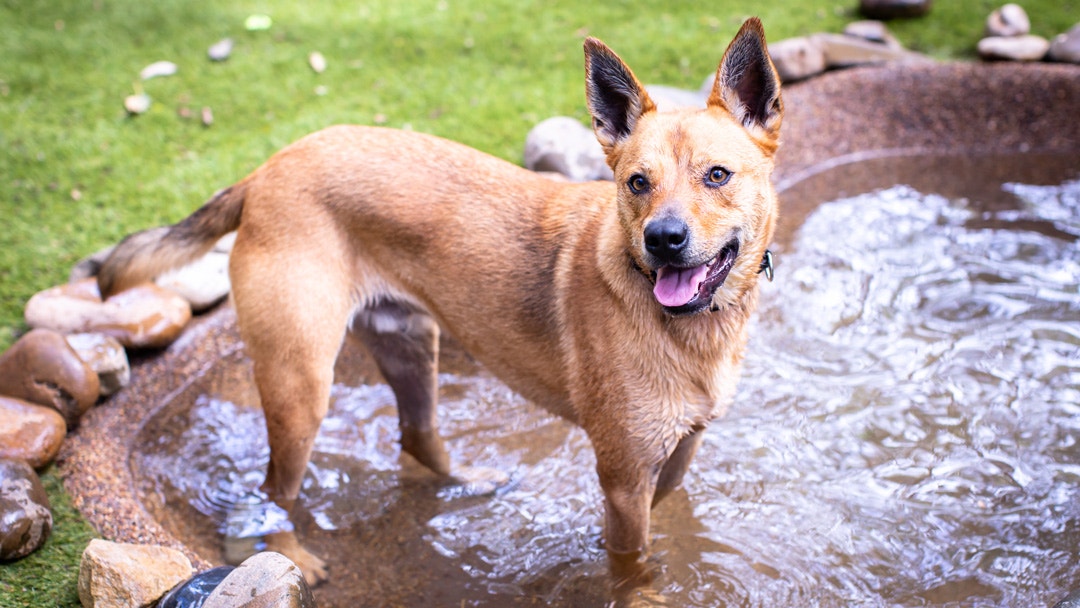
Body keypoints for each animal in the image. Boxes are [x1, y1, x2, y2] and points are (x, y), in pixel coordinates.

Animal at [97, 16, 781, 596]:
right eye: (638, 183)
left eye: (717, 175)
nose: (663, 240)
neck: (687, 324)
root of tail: (264, 172)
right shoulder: (622, 475)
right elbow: (633, 565)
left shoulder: (671, 457)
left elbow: (655, 523)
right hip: (301, 387)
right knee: (274, 489)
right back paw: (289, 557)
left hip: (408, 346)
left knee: (417, 436)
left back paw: (470, 483)